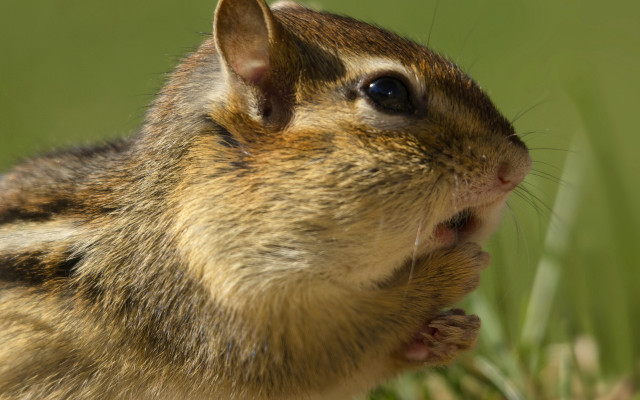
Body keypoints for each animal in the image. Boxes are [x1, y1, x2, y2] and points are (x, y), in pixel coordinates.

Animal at [0, 0, 531, 399]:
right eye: (388, 92)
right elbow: (337, 350)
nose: (518, 165)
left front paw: (450, 335)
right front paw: (452, 272)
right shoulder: (220, 326)